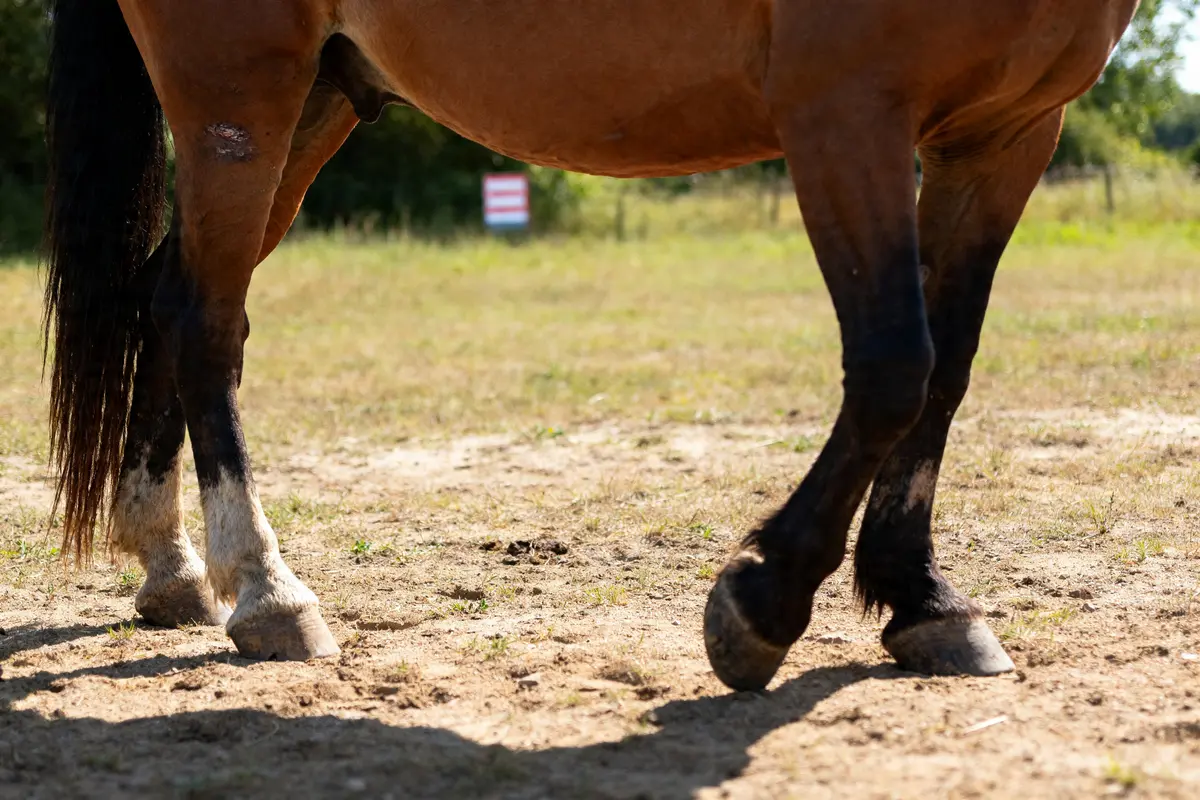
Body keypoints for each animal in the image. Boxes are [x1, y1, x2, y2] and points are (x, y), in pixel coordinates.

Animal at [42, 0, 1139, 690]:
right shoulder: (846, 112)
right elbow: (893, 366)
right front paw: (762, 599)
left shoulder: (1006, 136)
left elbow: (945, 374)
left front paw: (922, 598)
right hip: (237, 97)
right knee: (205, 322)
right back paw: (268, 593)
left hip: (316, 99)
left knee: (170, 297)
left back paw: (173, 568)